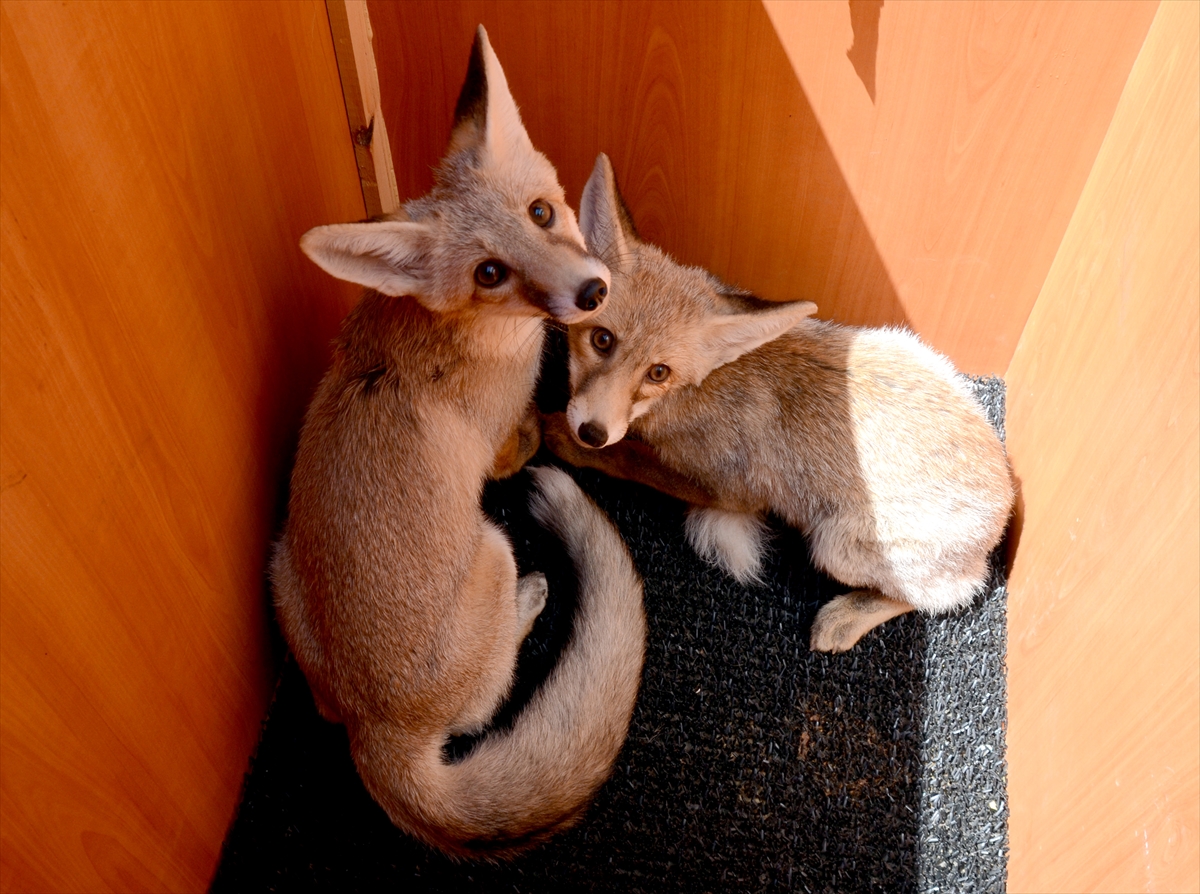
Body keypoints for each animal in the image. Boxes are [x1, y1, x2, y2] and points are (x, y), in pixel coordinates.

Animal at [270, 34, 648, 859]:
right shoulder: (500, 438)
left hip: (280, 565)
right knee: (487, 693)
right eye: (490, 274)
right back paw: (530, 600)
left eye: (541, 211)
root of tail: (374, 730)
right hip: (494, 550)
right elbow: (517, 447)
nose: (591, 293)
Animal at [544, 153, 1012, 652]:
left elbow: (631, 460)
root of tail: (1006, 501)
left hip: (835, 545)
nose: (591, 431)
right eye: (602, 340)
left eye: (658, 373)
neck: (698, 391)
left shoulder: (730, 489)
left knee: (940, 596)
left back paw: (846, 617)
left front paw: (564, 439)